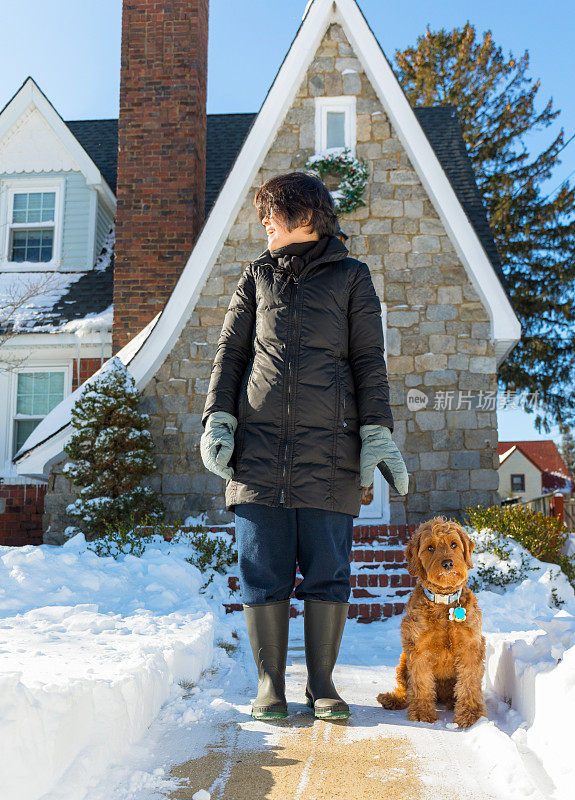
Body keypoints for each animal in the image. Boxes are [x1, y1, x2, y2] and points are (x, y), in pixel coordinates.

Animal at [380, 516, 488, 728]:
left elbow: (469, 682)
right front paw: (422, 712)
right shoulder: (419, 648)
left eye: (454, 544)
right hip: (403, 661)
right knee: (406, 690)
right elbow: (421, 682)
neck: (444, 603)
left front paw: (471, 715)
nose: (447, 563)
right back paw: (392, 699)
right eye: (430, 547)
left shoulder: (471, 647)